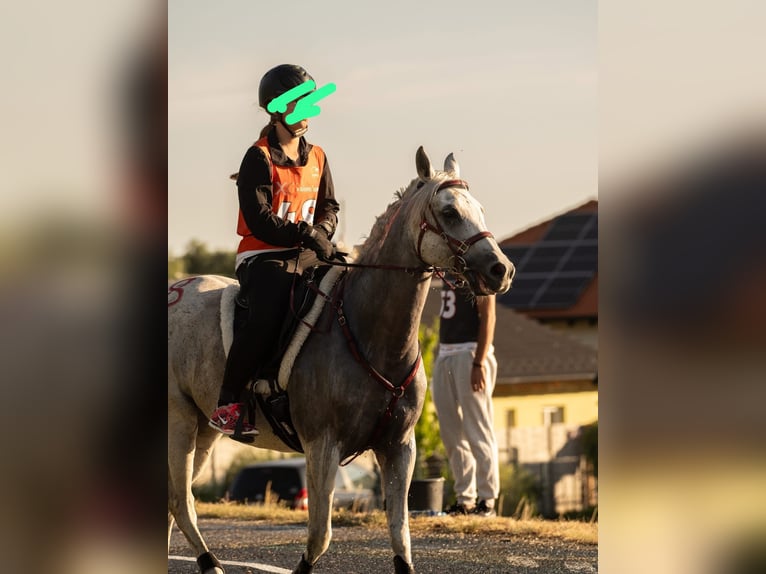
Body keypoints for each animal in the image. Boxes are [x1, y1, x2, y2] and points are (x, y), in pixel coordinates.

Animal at [168, 146, 514, 574]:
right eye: (449, 212)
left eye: (479, 209)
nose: (501, 269)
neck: (371, 332)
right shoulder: (322, 446)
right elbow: (320, 536)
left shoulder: (399, 447)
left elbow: (400, 534)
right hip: (180, 421)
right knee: (181, 502)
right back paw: (209, 562)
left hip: (205, 429)